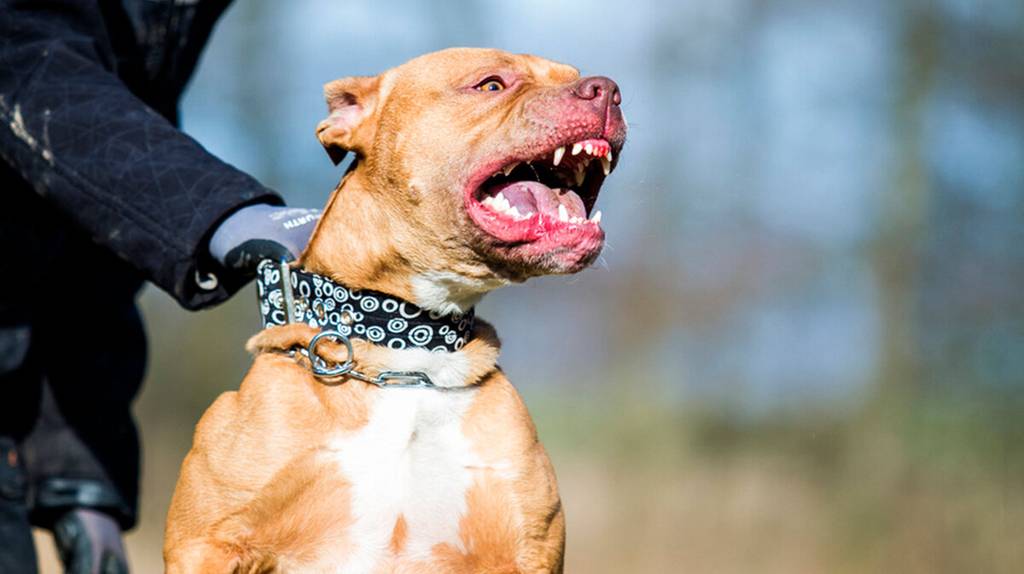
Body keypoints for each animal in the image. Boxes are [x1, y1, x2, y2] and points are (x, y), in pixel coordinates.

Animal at [161, 47, 622, 568]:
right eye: (491, 85)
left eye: (575, 76)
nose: (607, 90)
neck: (410, 353)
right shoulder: (208, 544)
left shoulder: (528, 551)